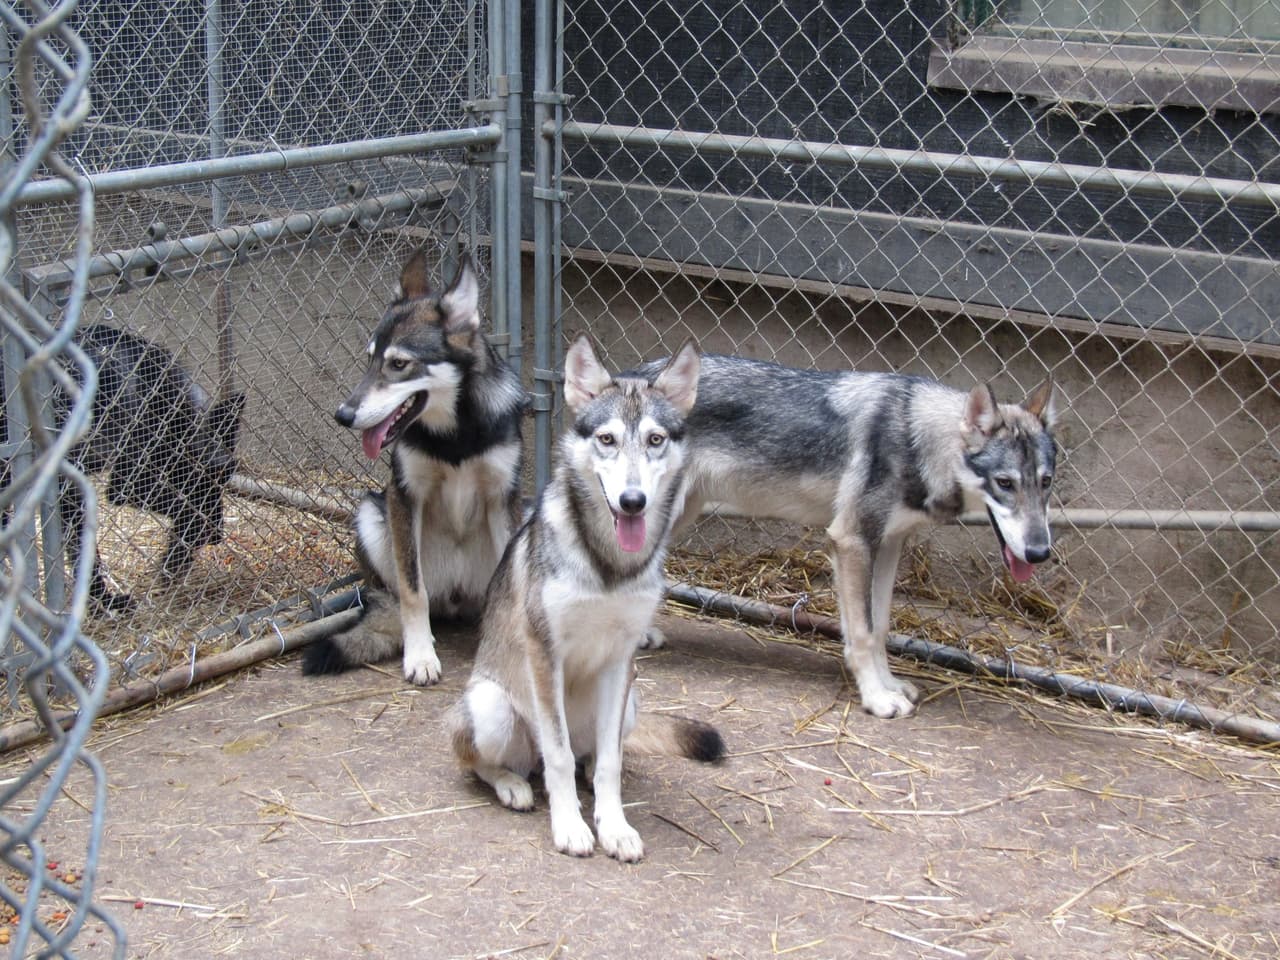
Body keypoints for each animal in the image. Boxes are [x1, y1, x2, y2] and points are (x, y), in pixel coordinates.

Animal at [2, 323, 245, 611]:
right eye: (207, 482)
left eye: (225, 480)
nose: (218, 535)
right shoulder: (126, 482)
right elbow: (185, 509)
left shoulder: (70, 482)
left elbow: (82, 549)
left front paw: (101, 601)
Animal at [302, 250, 526, 685]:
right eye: (370, 359)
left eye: (399, 364)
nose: (343, 415)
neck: (456, 435)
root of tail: (457, 598)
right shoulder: (405, 497)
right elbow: (412, 591)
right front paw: (420, 655)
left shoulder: (502, 498)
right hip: (371, 514)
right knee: (395, 599)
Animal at [449, 335, 723, 862]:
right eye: (607, 440)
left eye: (655, 440)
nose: (633, 501)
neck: (609, 566)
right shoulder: (545, 655)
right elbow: (556, 758)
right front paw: (570, 828)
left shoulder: (622, 658)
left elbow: (611, 763)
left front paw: (613, 827)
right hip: (492, 709)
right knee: (489, 763)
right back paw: (513, 785)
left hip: (632, 699)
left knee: (593, 757)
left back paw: (589, 776)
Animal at [631, 354, 1058, 719]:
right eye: (1005, 483)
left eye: (1046, 482)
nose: (1040, 553)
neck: (917, 441)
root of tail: (631, 374)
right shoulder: (851, 540)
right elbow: (863, 632)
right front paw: (878, 698)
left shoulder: (888, 544)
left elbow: (880, 625)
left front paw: (890, 685)